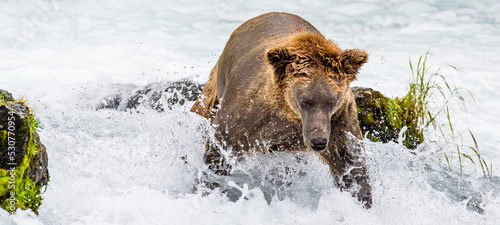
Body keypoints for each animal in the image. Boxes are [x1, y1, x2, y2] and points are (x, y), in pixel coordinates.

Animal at [191, 12, 372, 208]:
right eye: (305, 101)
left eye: (332, 102)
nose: (319, 141)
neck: (290, 115)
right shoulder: (248, 115)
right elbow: (219, 153)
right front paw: (206, 187)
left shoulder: (339, 120)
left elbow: (350, 165)